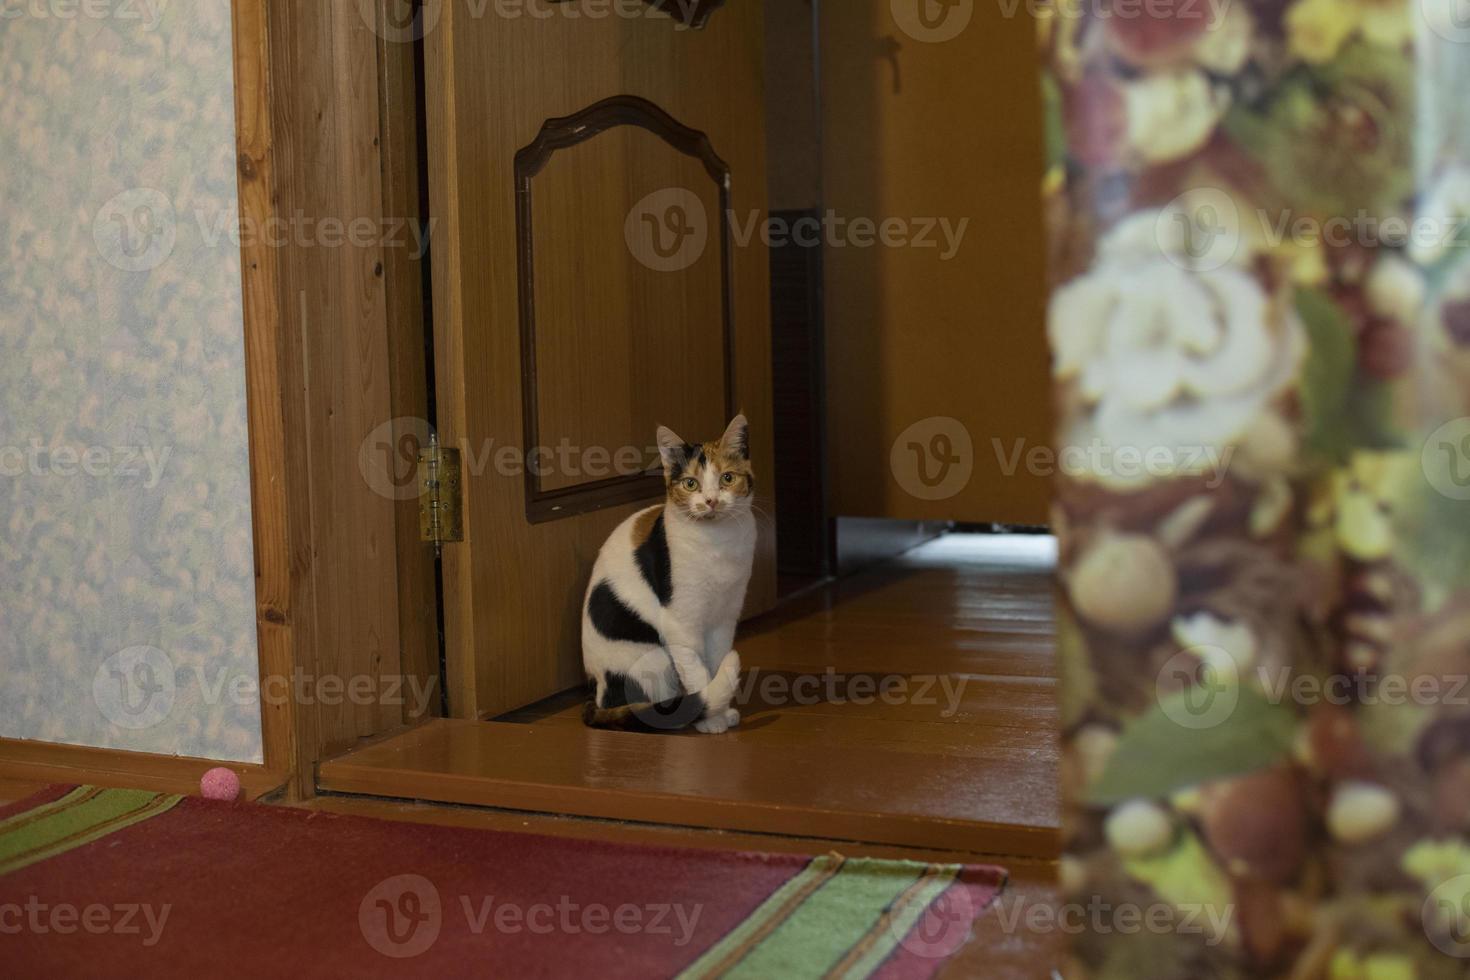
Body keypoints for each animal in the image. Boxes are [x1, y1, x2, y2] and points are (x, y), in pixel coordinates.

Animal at [579, 417, 758, 734]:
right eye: (691, 483)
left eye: (727, 478)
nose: (711, 501)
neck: (718, 543)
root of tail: (597, 694)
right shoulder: (680, 624)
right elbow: (699, 674)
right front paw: (711, 718)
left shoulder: (724, 618)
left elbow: (715, 663)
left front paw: (722, 712)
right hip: (657, 659)